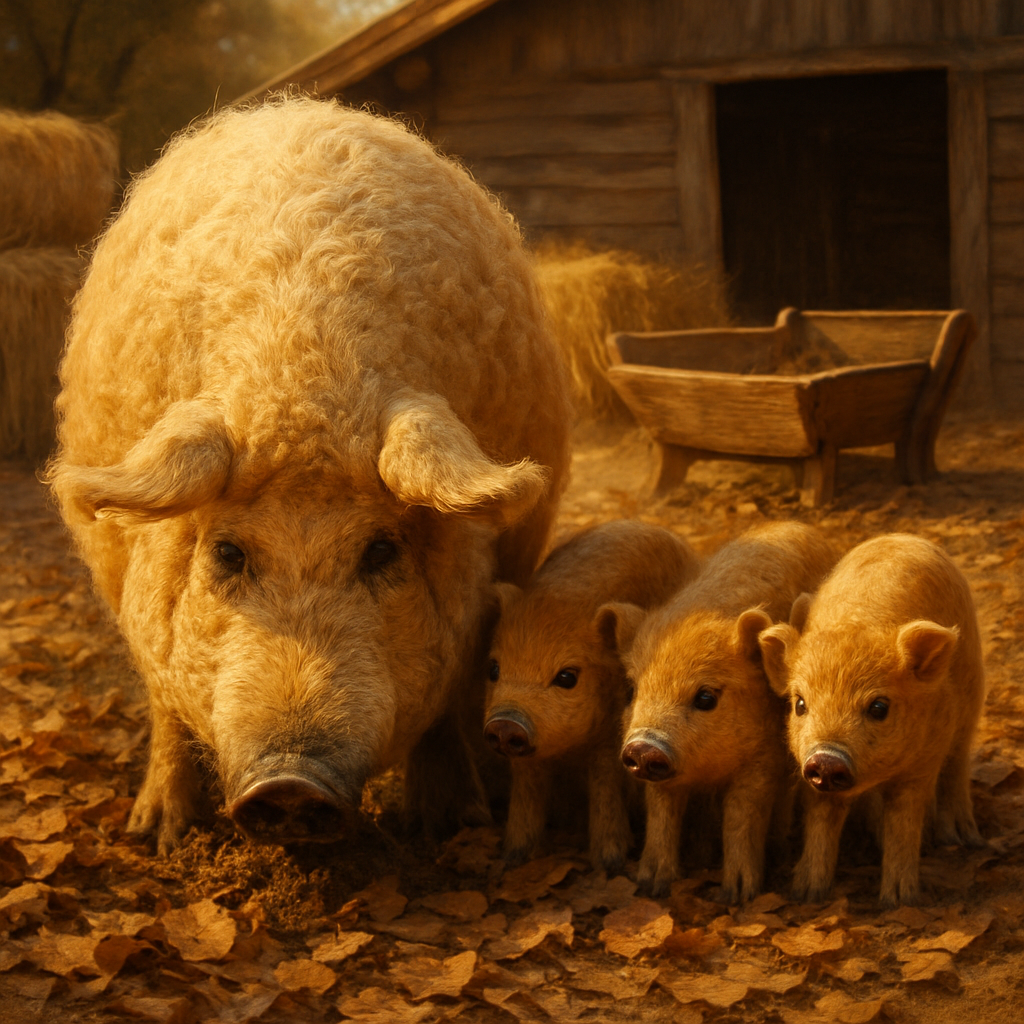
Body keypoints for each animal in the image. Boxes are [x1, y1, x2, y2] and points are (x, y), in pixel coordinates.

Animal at [45, 97, 572, 853]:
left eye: (380, 550)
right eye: (227, 552)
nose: (291, 783)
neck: (301, 373)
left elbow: (446, 701)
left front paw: (450, 827)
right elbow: (161, 692)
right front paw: (160, 837)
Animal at [484, 520, 701, 871]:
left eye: (566, 677)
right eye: (493, 668)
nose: (505, 724)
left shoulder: (612, 730)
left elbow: (604, 780)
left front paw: (610, 862)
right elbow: (527, 787)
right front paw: (512, 856)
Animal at [603, 521, 836, 901]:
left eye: (706, 697)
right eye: (632, 689)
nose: (642, 746)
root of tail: (797, 524)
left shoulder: (764, 756)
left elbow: (740, 814)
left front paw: (739, 894)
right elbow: (662, 811)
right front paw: (651, 885)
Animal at [758, 533, 985, 906]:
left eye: (879, 707)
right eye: (800, 704)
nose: (827, 759)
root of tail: (903, 536)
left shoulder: (923, 762)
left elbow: (904, 820)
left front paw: (899, 901)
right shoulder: (812, 775)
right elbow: (822, 816)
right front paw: (806, 893)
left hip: (973, 694)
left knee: (958, 761)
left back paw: (962, 839)